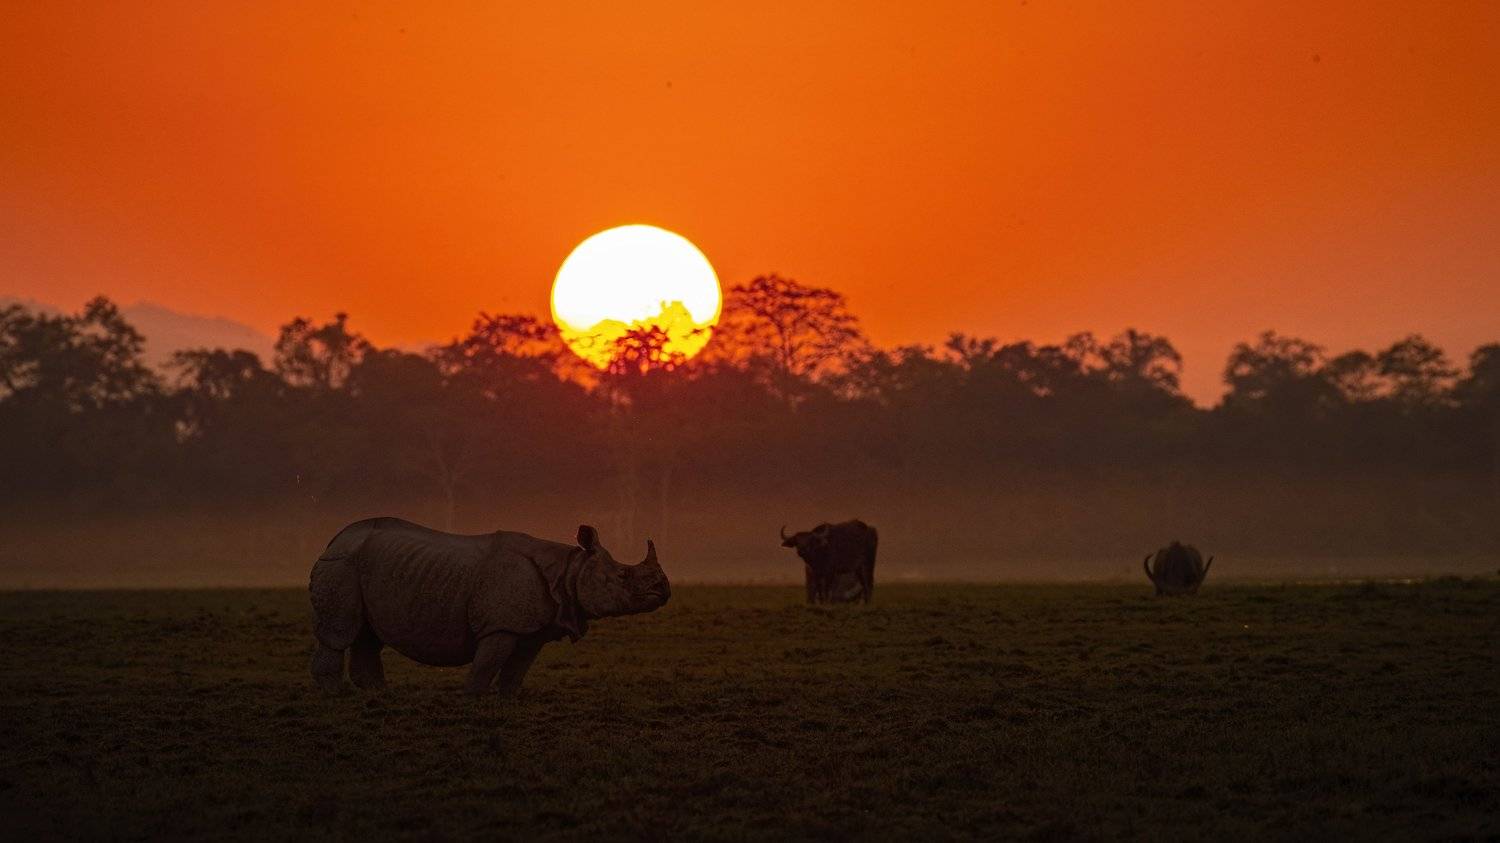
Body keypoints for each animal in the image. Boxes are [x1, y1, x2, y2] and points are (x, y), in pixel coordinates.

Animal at [308, 518, 670, 695]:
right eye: (623, 576)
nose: (664, 591)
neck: (569, 569)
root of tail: (333, 540)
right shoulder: (500, 625)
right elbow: (488, 661)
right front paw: (473, 696)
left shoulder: (533, 629)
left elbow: (518, 667)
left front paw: (508, 698)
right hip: (342, 565)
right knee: (340, 633)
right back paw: (335, 694)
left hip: (366, 567)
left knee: (369, 635)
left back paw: (378, 694)